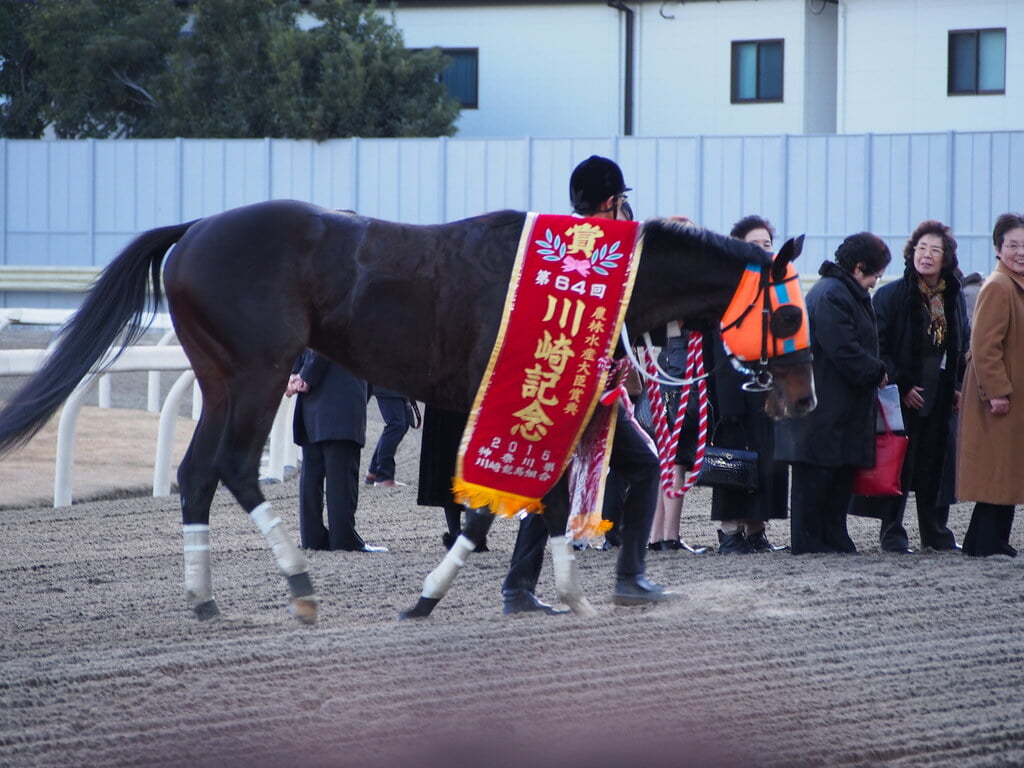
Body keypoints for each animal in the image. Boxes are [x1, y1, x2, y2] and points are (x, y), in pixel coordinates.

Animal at [0, 199, 814, 625]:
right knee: (232, 465)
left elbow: (545, 499)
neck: (582, 283)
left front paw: (566, 592)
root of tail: (194, 230)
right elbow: (495, 506)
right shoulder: (508, 400)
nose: (801, 396)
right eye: (787, 312)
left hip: (222, 375)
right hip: (260, 372)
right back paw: (299, 584)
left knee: (197, 472)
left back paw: (204, 601)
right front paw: (434, 596)